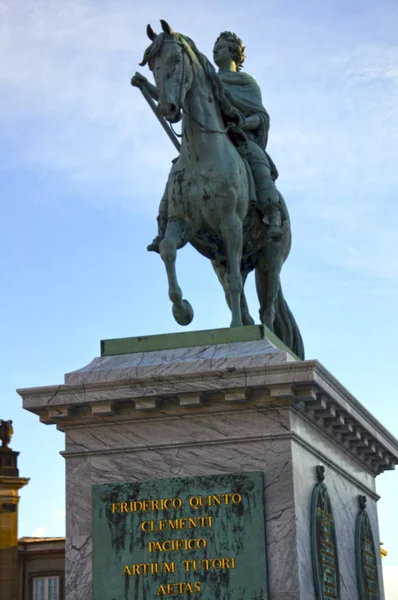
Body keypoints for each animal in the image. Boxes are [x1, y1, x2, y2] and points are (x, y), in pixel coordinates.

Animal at [138, 22, 304, 360]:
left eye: (176, 59)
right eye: (152, 65)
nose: (168, 108)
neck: (201, 154)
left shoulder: (231, 224)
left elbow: (237, 284)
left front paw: (236, 331)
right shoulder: (181, 224)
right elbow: (168, 250)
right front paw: (182, 311)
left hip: (270, 258)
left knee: (266, 305)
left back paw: (258, 329)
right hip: (221, 258)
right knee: (235, 291)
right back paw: (241, 323)